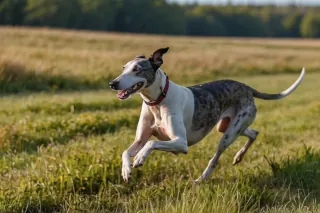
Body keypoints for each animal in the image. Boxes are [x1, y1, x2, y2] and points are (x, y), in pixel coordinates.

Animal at [108, 47, 304, 182]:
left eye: (137, 69)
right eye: (124, 68)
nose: (112, 83)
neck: (157, 101)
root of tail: (247, 88)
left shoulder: (181, 143)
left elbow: (152, 142)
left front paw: (140, 158)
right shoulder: (140, 139)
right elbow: (126, 151)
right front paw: (126, 170)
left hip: (228, 135)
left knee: (215, 159)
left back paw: (200, 179)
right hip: (227, 126)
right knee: (253, 133)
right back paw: (239, 156)